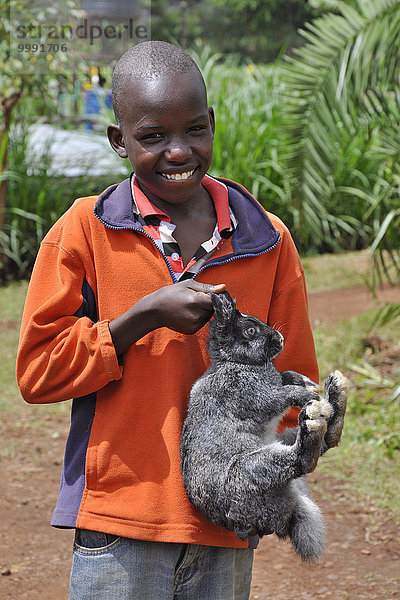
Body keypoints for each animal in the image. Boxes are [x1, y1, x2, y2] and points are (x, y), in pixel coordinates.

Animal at [181, 290, 346, 564]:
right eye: (250, 330)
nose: (280, 338)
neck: (237, 362)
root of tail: (289, 514)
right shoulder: (255, 396)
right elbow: (281, 393)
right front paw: (305, 394)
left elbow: (286, 375)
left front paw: (308, 383)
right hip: (252, 469)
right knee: (300, 461)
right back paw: (317, 415)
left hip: (279, 443)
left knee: (326, 441)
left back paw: (335, 395)